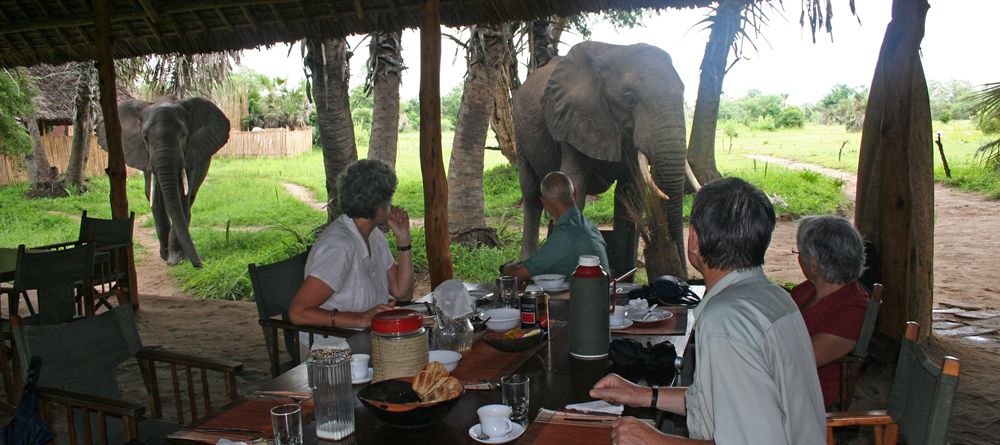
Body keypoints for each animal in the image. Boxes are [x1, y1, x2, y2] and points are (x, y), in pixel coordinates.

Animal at [106, 96, 230, 268]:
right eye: (145, 138)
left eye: (184, 135)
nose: (200, 264)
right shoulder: (146, 159)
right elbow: (154, 198)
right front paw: (165, 256)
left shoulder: (189, 156)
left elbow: (182, 196)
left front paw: (176, 259)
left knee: (190, 199)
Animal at [516, 43, 688, 276]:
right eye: (629, 98)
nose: (685, 277)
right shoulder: (570, 118)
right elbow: (574, 183)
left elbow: (629, 194)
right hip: (519, 130)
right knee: (532, 194)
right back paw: (527, 260)